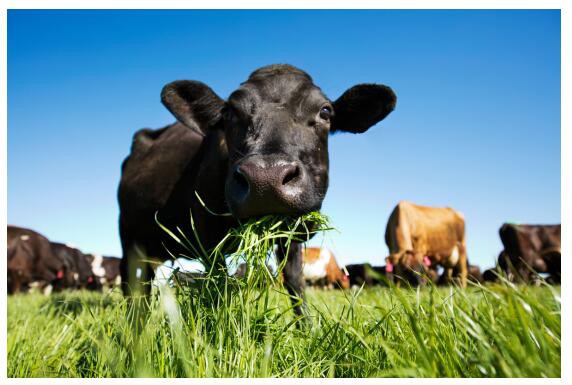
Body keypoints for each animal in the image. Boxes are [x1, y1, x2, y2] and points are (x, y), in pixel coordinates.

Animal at [118, 63, 396, 316]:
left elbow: (295, 282)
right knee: (131, 283)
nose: (266, 178)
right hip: (128, 237)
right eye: (229, 114)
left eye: (325, 111)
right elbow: (218, 283)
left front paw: (307, 327)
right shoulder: (205, 234)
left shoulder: (289, 236)